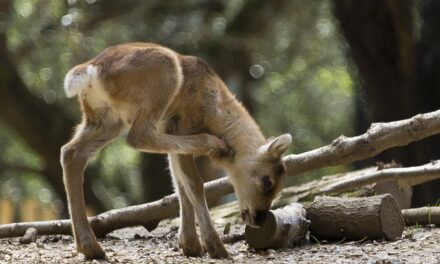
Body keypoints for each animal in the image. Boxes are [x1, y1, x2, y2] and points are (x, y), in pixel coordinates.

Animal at [60, 42, 290, 258]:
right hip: (161, 77)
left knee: (70, 152)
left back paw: (91, 247)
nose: (259, 218)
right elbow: (195, 184)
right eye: (267, 182)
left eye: (280, 188)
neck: (214, 110)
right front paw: (214, 247)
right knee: (138, 135)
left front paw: (190, 245)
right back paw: (216, 145)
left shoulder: (172, 138)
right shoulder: (182, 123)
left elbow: (180, 185)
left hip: (104, 119)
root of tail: (90, 69)